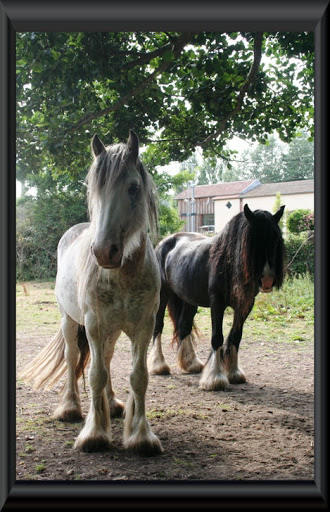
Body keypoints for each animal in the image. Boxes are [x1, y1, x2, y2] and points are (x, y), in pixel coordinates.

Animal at [148, 202, 284, 390]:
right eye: (252, 240)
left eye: (276, 240)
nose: (267, 280)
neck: (228, 262)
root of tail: (163, 243)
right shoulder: (217, 304)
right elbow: (217, 337)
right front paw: (215, 378)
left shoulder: (245, 306)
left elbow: (235, 337)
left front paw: (234, 373)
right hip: (163, 295)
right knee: (158, 327)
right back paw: (158, 366)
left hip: (189, 299)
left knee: (184, 325)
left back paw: (190, 363)